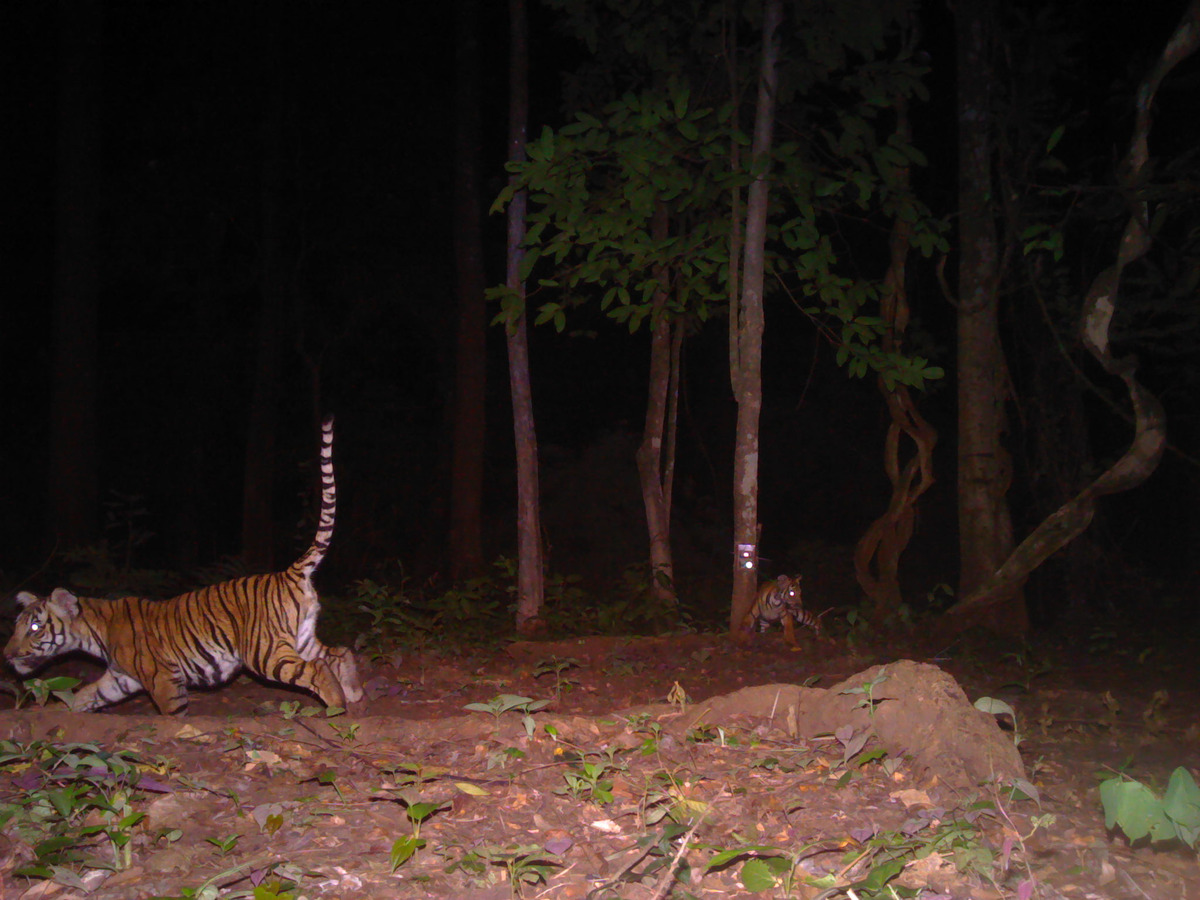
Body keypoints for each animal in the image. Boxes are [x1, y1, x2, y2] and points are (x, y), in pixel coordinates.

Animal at [4, 416, 363, 715]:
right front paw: (67, 714)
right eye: (17, 625)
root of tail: (288, 572)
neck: (93, 633)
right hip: (301, 638)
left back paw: (337, 708)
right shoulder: (119, 678)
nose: (6, 655)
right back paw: (355, 694)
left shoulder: (162, 677)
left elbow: (171, 712)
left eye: (34, 627)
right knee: (340, 652)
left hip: (264, 652)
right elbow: (87, 695)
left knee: (317, 668)